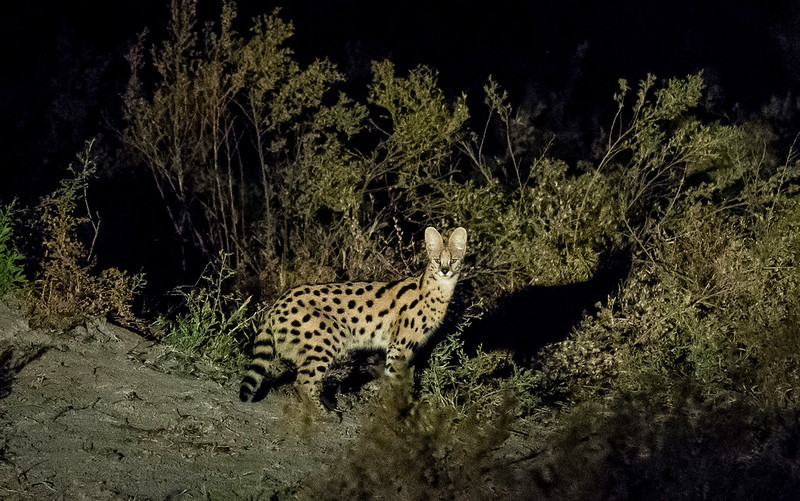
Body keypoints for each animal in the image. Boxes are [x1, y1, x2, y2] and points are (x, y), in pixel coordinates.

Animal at [238, 227, 466, 410]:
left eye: (454, 260)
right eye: (437, 259)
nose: (445, 270)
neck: (436, 290)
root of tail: (275, 305)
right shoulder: (399, 347)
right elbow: (397, 383)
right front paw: (400, 412)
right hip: (328, 338)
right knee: (303, 381)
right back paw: (325, 414)